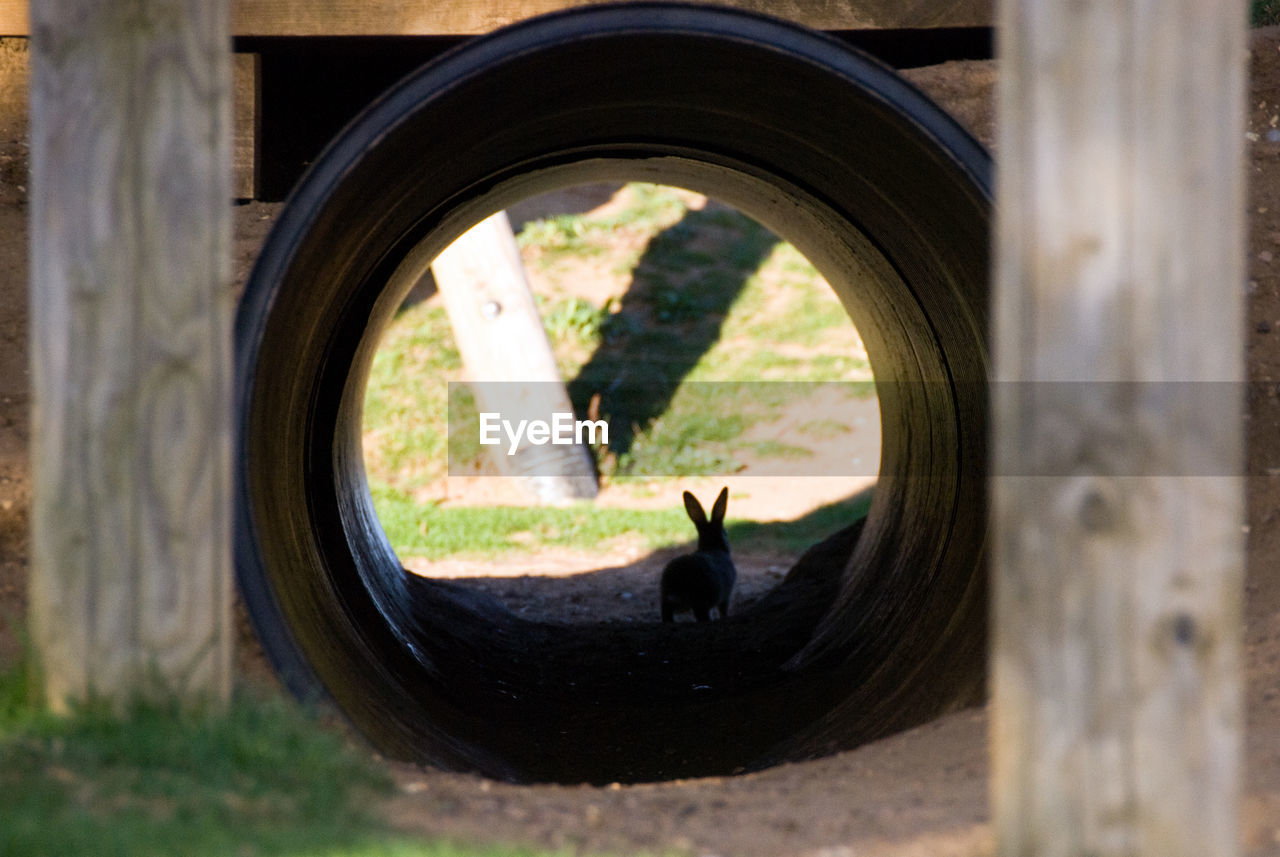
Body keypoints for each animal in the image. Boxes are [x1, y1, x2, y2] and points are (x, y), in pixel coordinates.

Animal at [660, 491, 742, 624]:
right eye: (726, 532)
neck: (711, 546)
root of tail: (677, 584)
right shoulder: (726, 596)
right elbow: (723, 610)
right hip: (701, 601)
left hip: (665, 600)